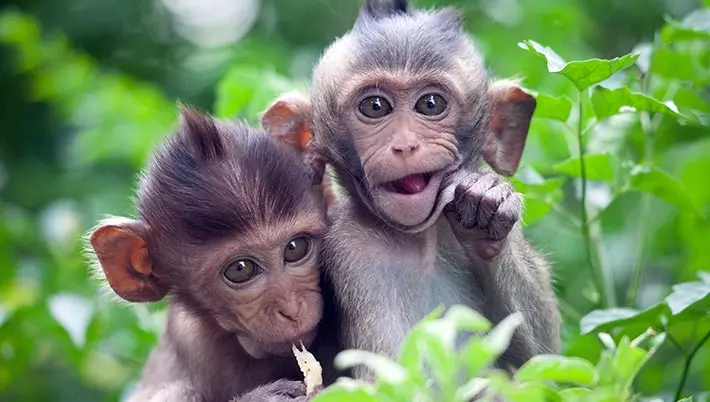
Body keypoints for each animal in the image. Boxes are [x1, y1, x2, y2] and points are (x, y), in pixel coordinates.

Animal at [260, 0, 561, 381]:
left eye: (430, 104)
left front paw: (487, 210)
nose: (405, 145)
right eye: (375, 107)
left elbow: (545, 362)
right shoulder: (349, 251)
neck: (421, 243)